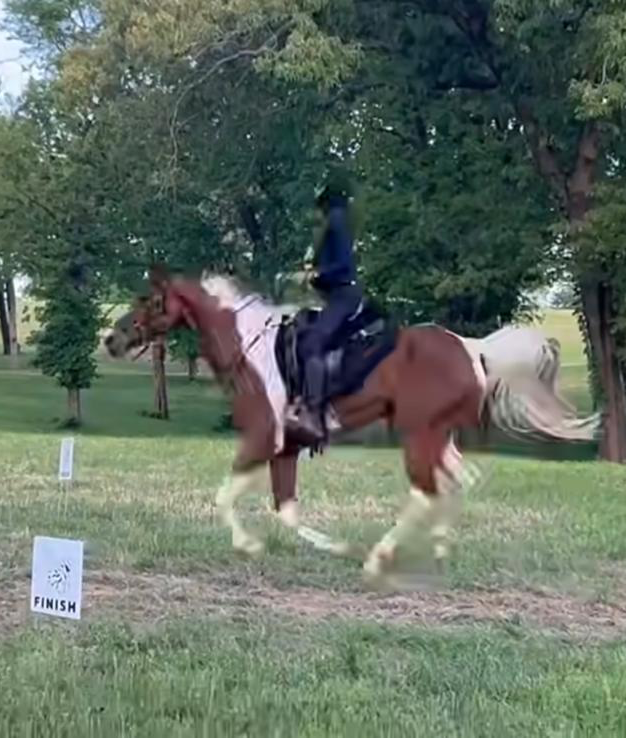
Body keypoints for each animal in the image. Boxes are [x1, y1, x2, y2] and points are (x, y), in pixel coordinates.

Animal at [105, 267, 600, 586]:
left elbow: (225, 497)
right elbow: (285, 510)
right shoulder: (286, 448)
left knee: (427, 492)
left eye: (148, 300)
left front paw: (248, 545)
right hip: (438, 438)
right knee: (457, 483)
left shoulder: (263, 438)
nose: (112, 339)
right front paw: (334, 547)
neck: (252, 345)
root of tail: (471, 346)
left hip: (418, 437)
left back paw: (380, 560)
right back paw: (438, 554)